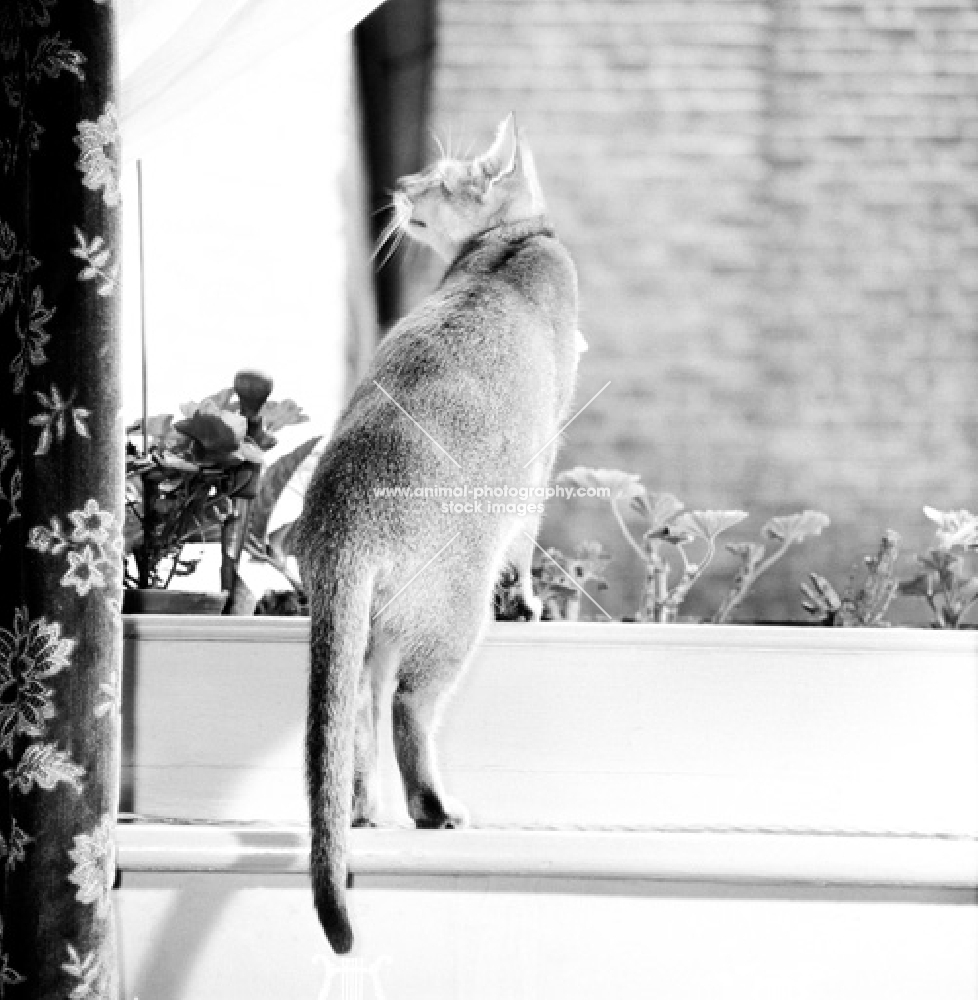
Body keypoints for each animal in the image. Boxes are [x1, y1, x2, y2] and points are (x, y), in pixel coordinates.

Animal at [292, 113, 580, 948]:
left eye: (434, 179)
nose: (399, 186)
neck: (511, 243)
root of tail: (344, 510)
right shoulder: (545, 453)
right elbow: (527, 544)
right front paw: (530, 602)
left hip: (366, 626)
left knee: (351, 715)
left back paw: (361, 810)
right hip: (451, 616)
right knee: (404, 707)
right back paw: (432, 810)